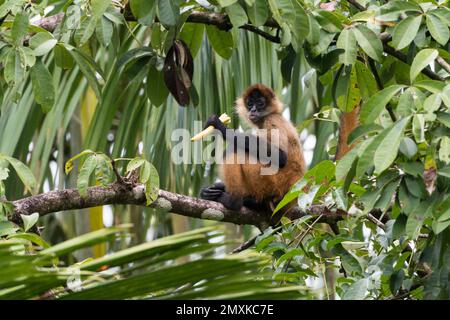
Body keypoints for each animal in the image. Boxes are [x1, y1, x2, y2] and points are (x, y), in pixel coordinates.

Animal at [200, 84, 306, 212]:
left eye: (260, 103)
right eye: (250, 104)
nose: (253, 110)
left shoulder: (272, 120)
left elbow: (281, 157)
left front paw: (220, 126)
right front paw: (213, 189)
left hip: (273, 180)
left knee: (235, 149)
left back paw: (234, 201)